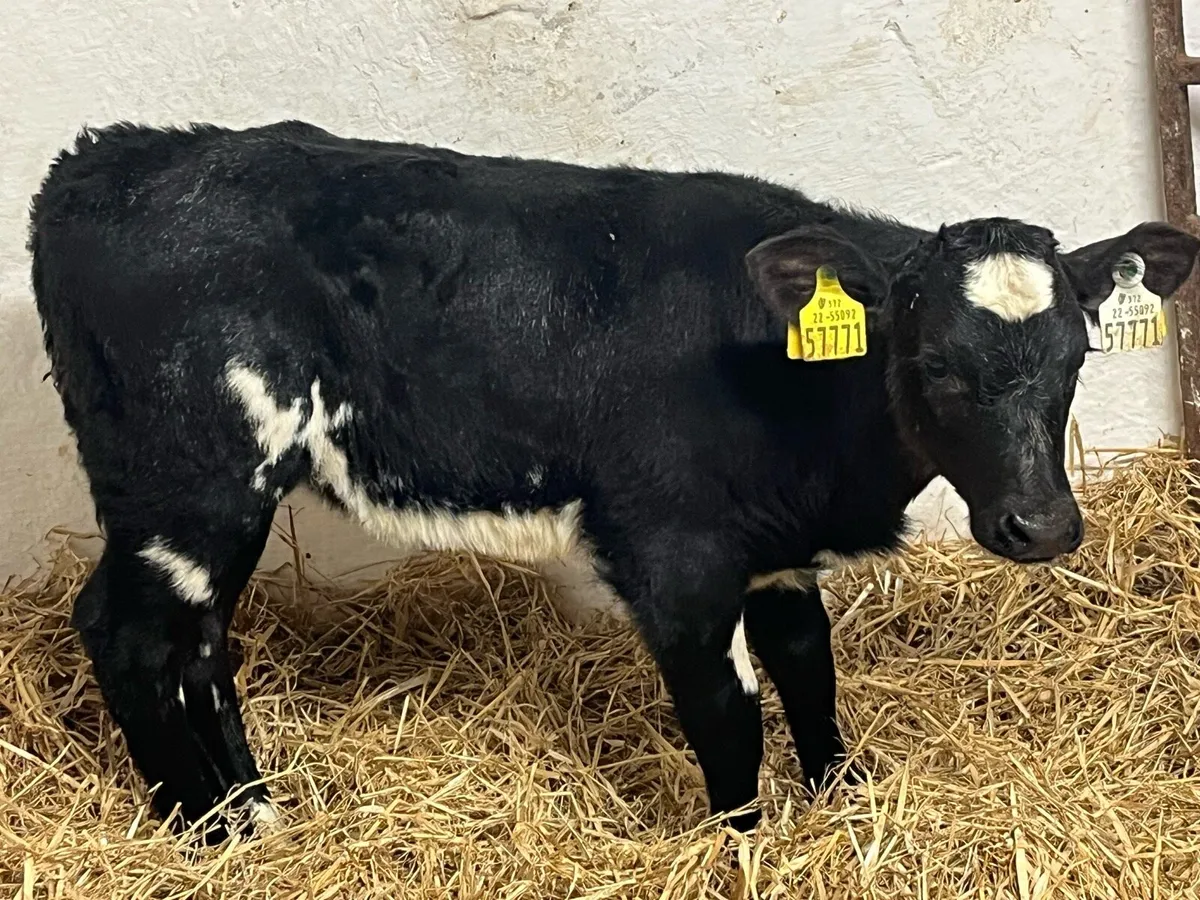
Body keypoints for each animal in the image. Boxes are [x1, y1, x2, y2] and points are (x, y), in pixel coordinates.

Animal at [28, 120, 1199, 842]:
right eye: (937, 364)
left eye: (1076, 355)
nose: (1042, 525)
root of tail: (112, 157)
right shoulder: (673, 554)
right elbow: (728, 714)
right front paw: (744, 846)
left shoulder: (776, 551)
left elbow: (808, 670)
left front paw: (841, 804)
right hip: (185, 482)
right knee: (126, 634)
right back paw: (204, 831)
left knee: (200, 647)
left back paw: (258, 814)